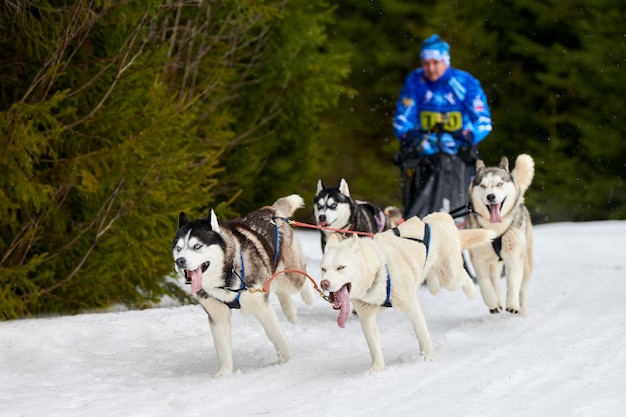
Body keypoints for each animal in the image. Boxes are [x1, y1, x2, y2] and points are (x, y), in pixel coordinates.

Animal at [172, 195, 314, 376]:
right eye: (178, 248)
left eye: (197, 246)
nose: (180, 261)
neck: (226, 279)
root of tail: (270, 209)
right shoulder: (218, 316)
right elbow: (223, 349)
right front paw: (224, 373)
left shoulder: (261, 307)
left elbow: (276, 336)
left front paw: (287, 360)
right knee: (277, 287)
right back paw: (290, 312)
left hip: (291, 277)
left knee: (299, 277)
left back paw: (309, 297)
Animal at [320, 213, 494, 372]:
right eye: (323, 269)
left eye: (341, 267)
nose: (324, 283)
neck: (378, 270)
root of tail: (439, 216)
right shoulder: (367, 318)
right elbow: (374, 347)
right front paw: (376, 369)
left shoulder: (410, 305)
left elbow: (421, 332)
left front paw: (428, 357)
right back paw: (433, 285)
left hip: (450, 277)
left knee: (463, 275)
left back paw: (475, 293)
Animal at [466, 154, 532, 314]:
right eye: (483, 186)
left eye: (499, 184)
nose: (490, 196)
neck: (495, 229)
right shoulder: (478, 259)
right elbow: (484, 282)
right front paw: (491, 301)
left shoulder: (515, 258)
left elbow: (514, 283)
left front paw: (513, 304)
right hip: (493, 262)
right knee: (494, 280)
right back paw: (497, 302)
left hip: (526, 261)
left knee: (522, 286)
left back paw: (521, 308)